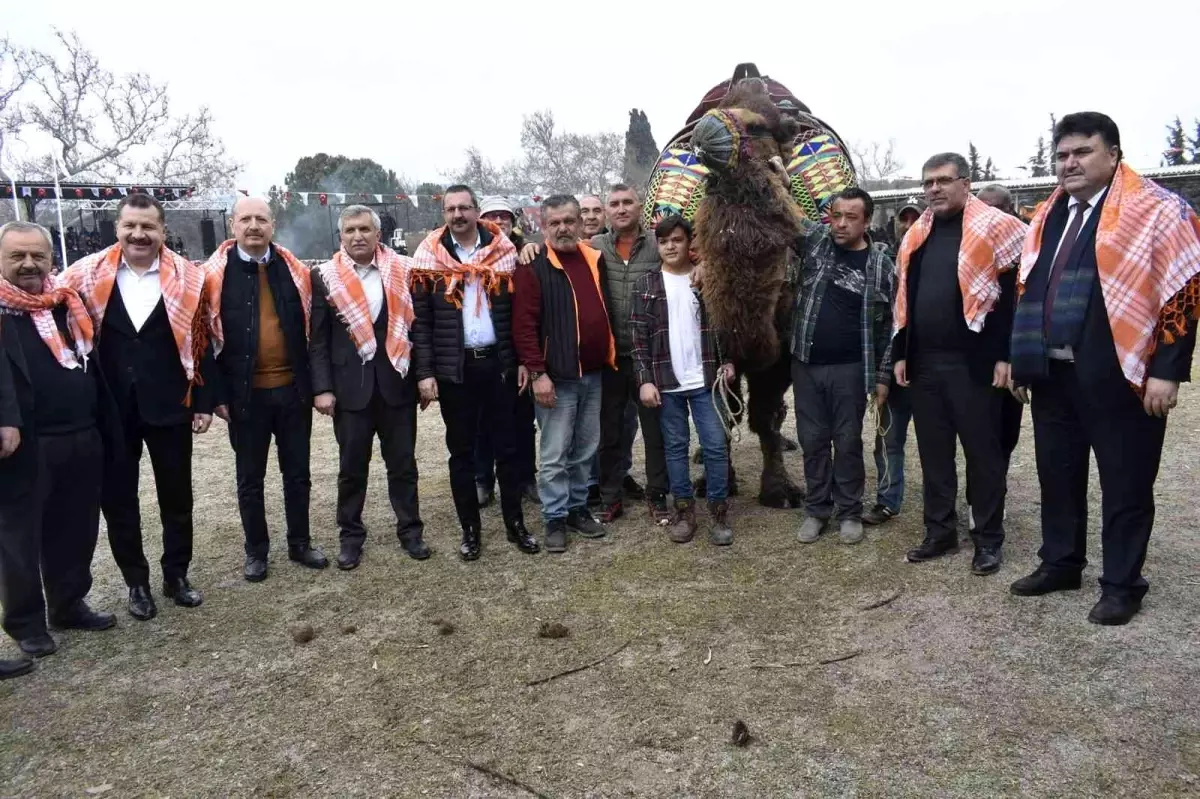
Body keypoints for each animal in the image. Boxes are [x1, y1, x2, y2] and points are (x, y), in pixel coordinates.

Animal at [643, 65, 859, 506]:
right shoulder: (713, 341)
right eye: (721, 111)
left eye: (758, 125)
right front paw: (715, 481)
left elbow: (764, 415)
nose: (705, 131)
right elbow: (719, 414)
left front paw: (779, 491)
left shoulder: (781, 352)